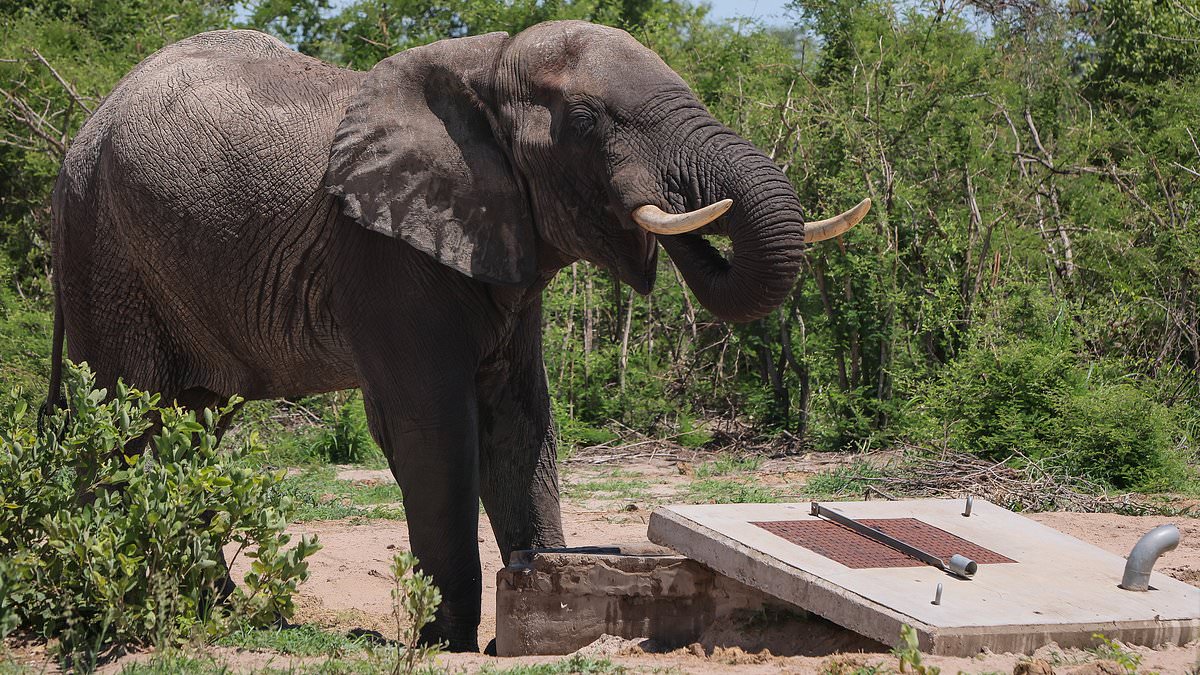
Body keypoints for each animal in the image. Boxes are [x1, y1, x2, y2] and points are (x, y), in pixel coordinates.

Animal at [49, 21, 873, 648]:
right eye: (586, 122)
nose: (677, 211)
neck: (487, 63)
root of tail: (81, 135)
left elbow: (522, 418)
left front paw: (544, 586)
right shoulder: (382, 253)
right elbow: (433, 428)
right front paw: (445, 639)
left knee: (192, 425)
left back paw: (212, 606)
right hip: (105, 250)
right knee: (131, 422)